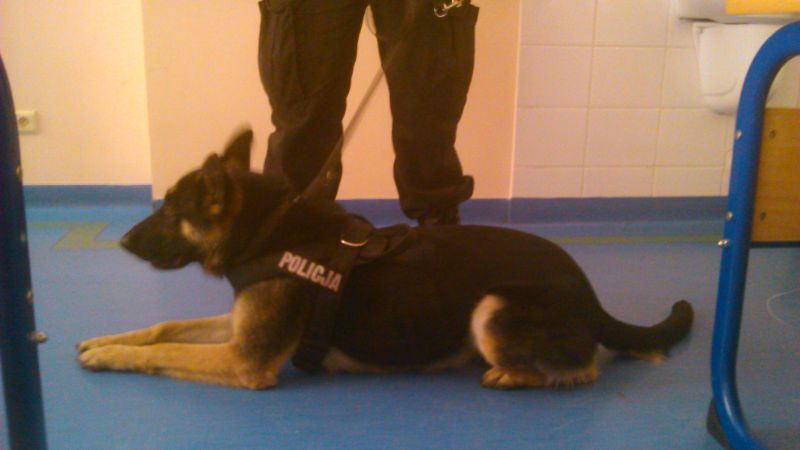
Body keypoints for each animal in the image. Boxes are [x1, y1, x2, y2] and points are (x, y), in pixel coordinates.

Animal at [77, 128, 693, 390]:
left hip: (491, 308)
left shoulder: (245, 361)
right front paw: (107, 341)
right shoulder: (235, 329)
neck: (269, 231)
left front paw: (112, 357)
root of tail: (589, 293)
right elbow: (165, 328)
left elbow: (167, 351)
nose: (123, 242)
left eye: (168, 212)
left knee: (585, 367)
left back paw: (515, 375)